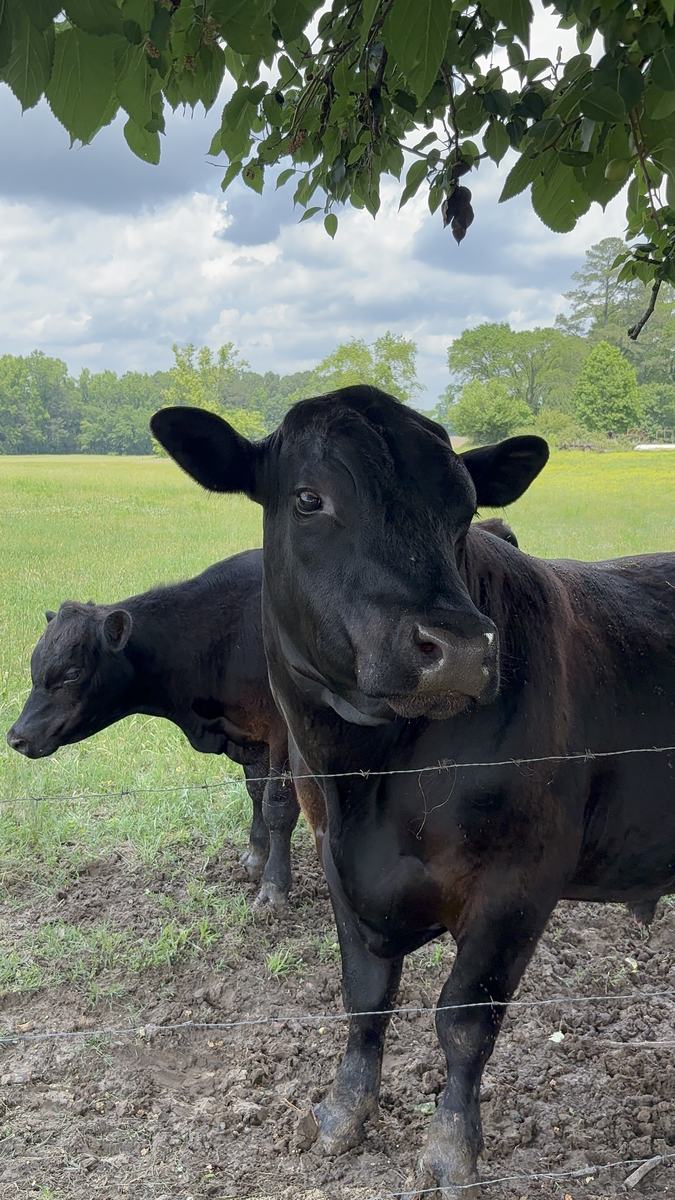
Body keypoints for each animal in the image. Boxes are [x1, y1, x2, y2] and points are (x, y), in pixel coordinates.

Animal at [152, 386, 674, 1196]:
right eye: (310, 498)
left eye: (463, 509)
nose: (458, 647)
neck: (366, 779)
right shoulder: (335, 857)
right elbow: (365, 995)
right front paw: (342, 1115)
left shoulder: (519, 881)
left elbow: (463, 1019)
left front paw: (450, 1151)